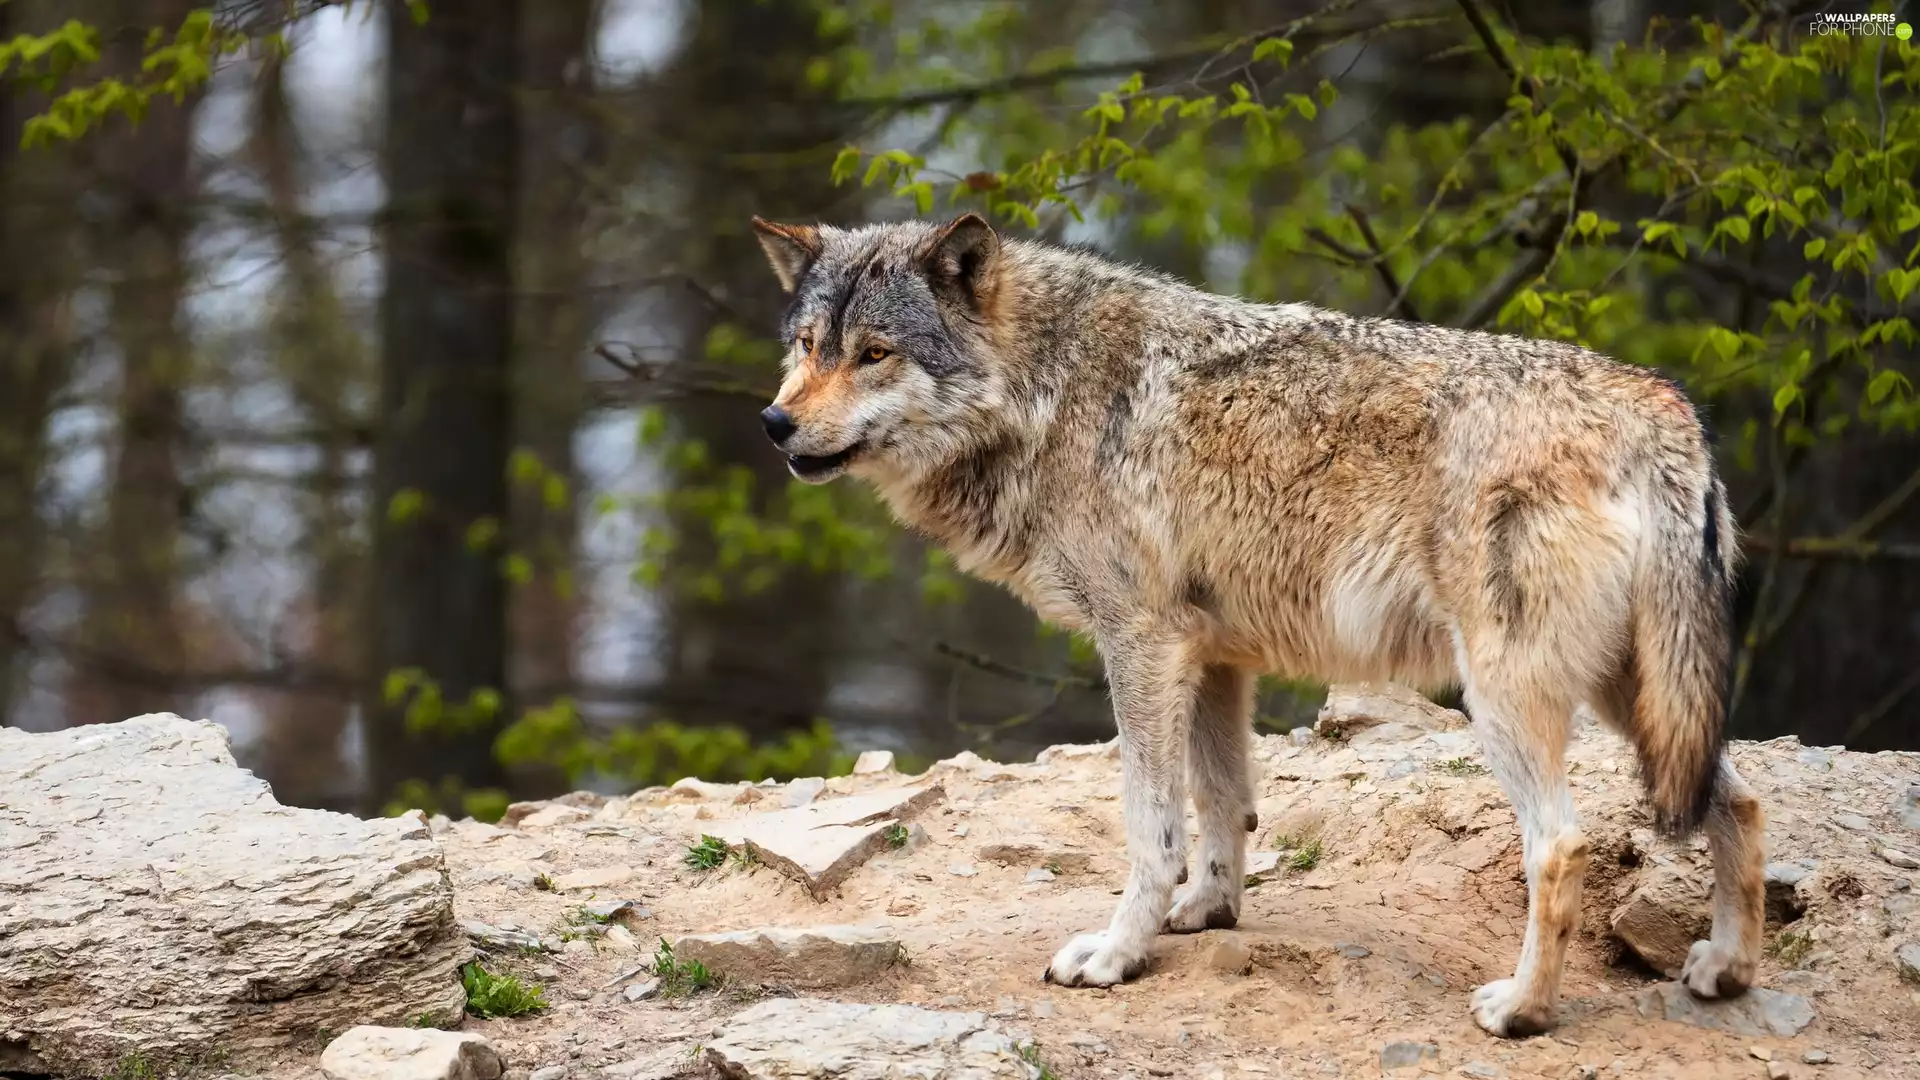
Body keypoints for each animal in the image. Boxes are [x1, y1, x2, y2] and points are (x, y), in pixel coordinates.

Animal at [748, 212, 1765, 1036]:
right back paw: (1725, 971)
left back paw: (1521, 1011)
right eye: (807, 343)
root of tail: (1664, 409)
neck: (1046, 391)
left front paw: (1118, 953)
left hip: (1508, 700)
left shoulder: (1141, 646)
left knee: (1561, 847)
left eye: (875, 353)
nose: (772, 423)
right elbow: (1223, 803)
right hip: (1639, 700)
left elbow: (1152, 825)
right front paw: (1209, 910)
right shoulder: (1213, 658)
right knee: (1740, 798)